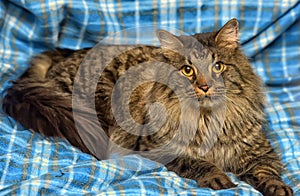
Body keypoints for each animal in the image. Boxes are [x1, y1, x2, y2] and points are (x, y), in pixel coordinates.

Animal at [2, 18, 292, 196]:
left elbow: (268, 172)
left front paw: (278, 188)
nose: (204, 86)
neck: (206, 118)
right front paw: (217, 178)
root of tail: (65, 55)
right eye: (188, 70)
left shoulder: (259, 150)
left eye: (218, 67)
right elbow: (197, 162)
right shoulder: (158, 147)